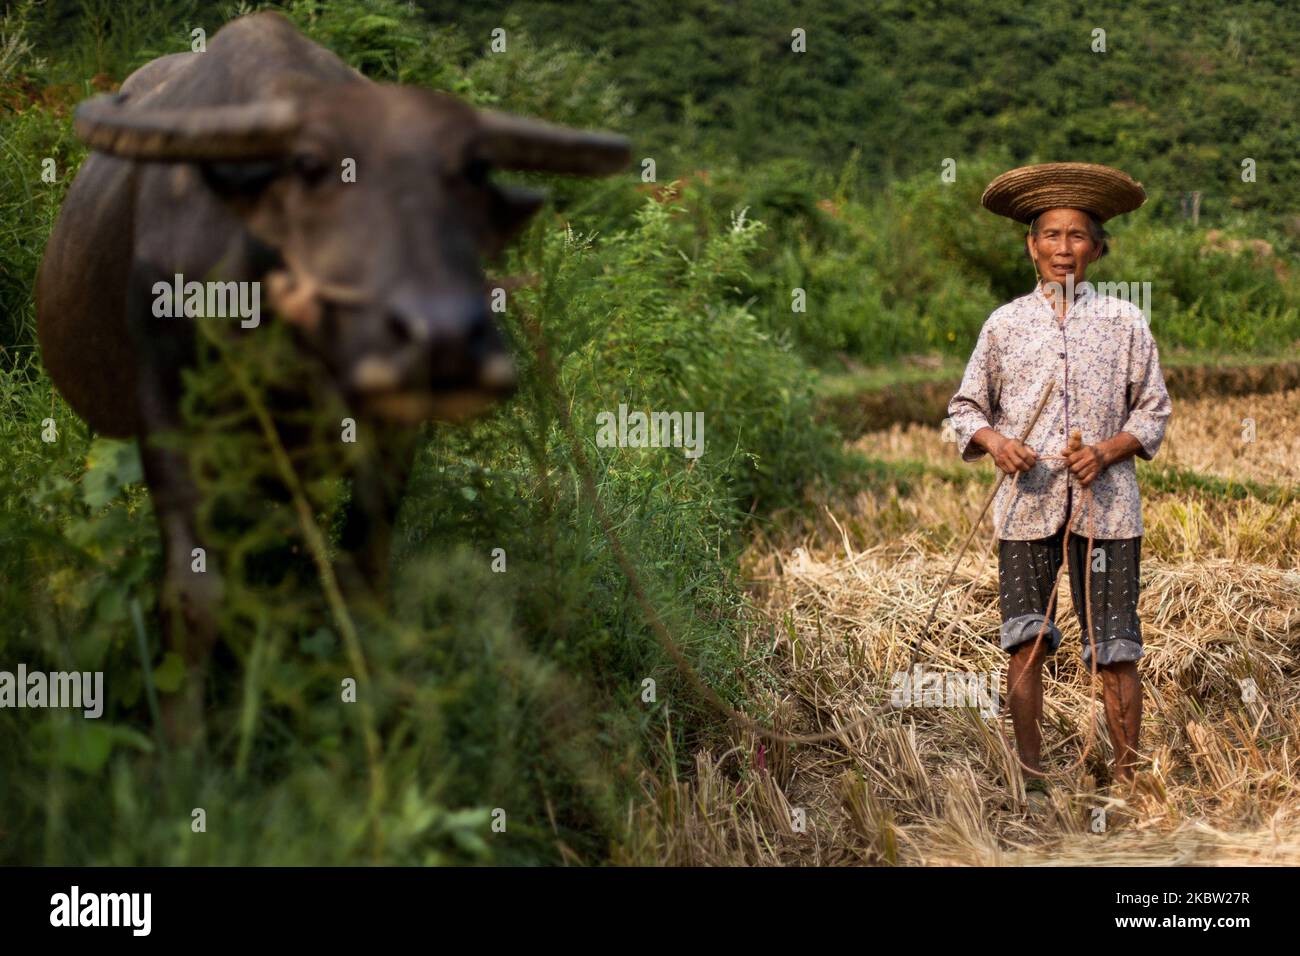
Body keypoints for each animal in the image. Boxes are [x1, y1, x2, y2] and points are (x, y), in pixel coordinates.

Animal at [34, 11, 629, 738]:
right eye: (312, 166)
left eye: (473, 169)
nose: (443, 338)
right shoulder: (168, 416)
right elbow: (193, 594)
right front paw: (183, 742)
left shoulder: (391, 433)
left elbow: (364, 569)